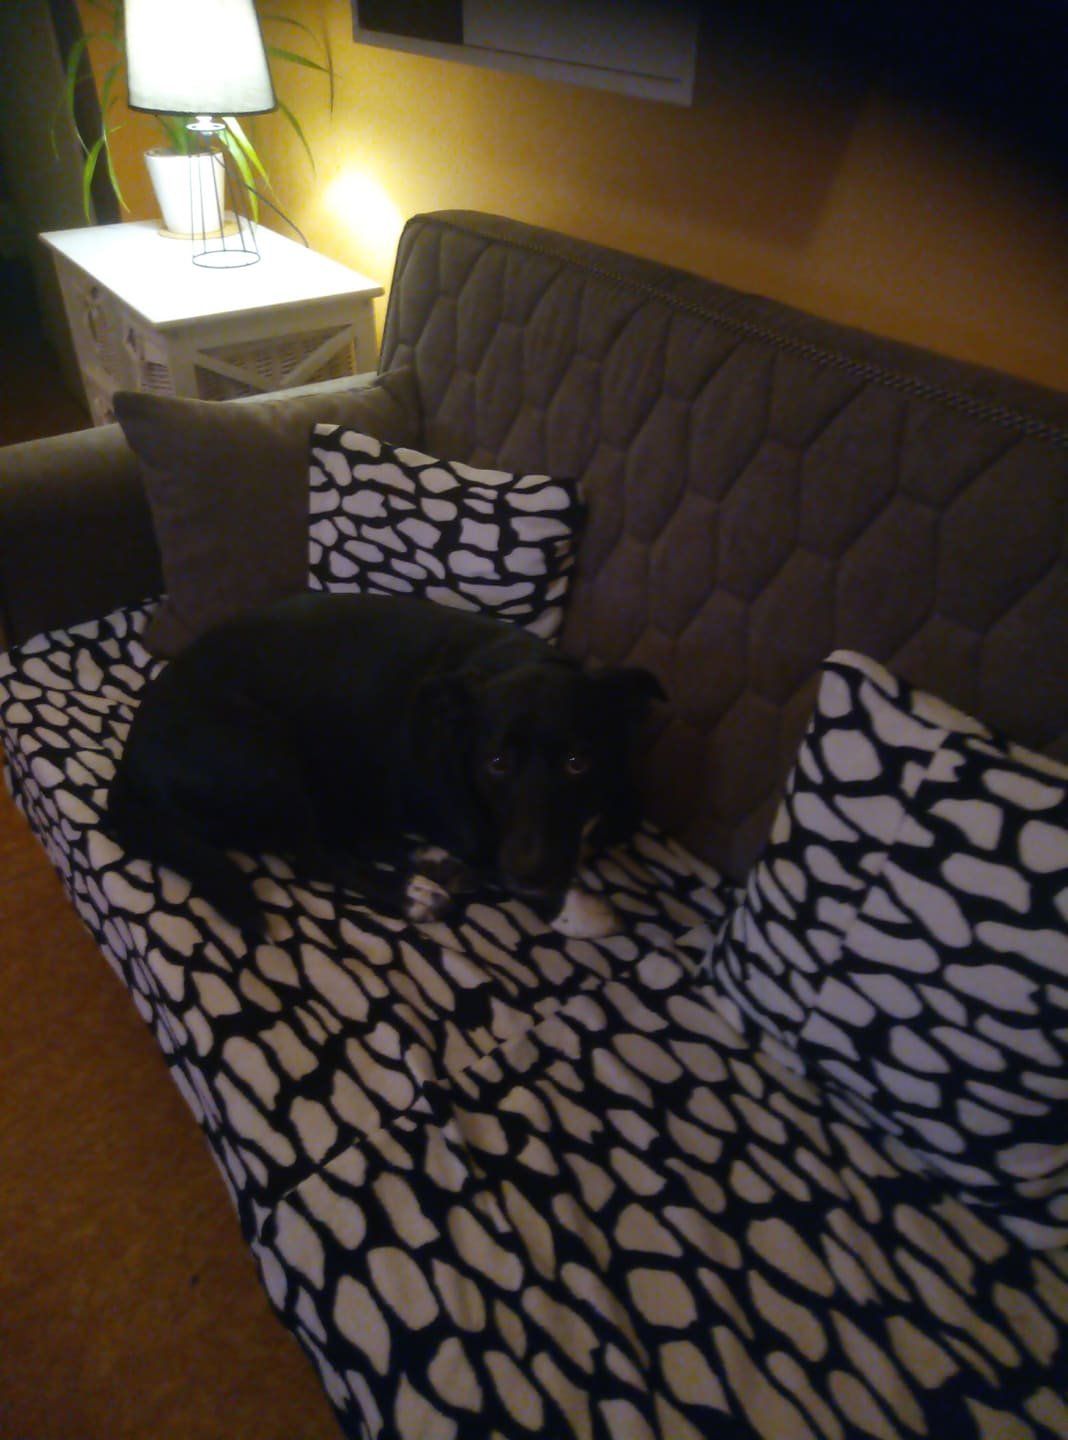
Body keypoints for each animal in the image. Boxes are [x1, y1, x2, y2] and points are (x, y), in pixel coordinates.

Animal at [106, 592, 665, 940]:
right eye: (496, 763)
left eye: (578, 761)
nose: (533, 871)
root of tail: (130, 761)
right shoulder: (485, 833)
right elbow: (496, 860)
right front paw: (576, 910)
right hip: (261, 755)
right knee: (315, 853)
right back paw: (413, 892)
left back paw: (430, 862)